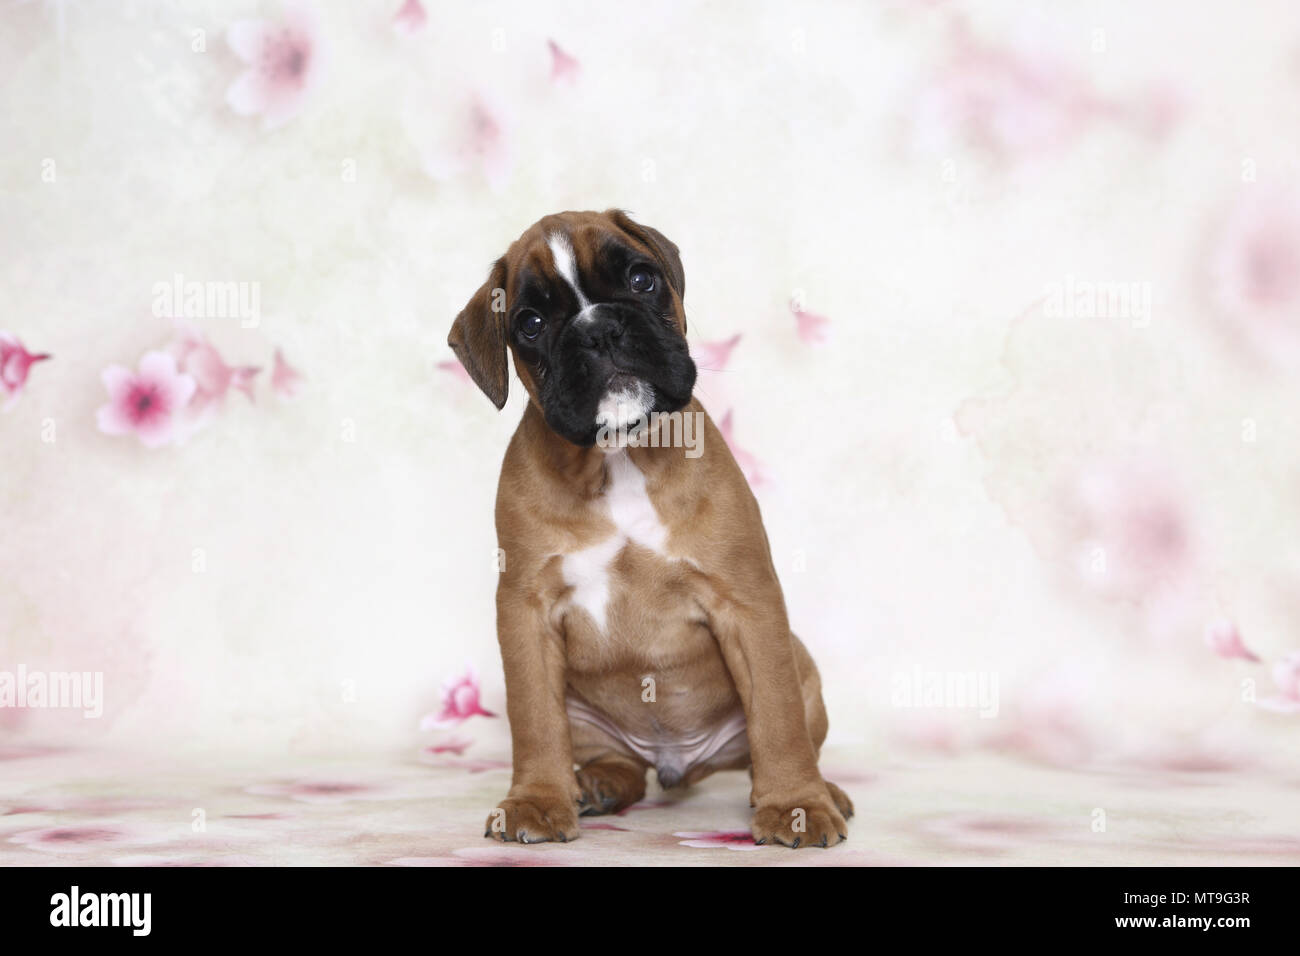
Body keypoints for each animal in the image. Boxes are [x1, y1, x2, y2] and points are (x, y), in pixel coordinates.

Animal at [447, 208, 852, 842]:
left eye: (642, 280)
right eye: (531, 324)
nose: (599, 329)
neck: (617, 456)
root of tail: (677, 764)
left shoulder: (748, 602)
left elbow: (777, 715)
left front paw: (796, 804)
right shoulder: (525, 612)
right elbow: (534, 721)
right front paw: (536, 800)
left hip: (802, 664)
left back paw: (822, 790)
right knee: (615, 761)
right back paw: (597, 784)